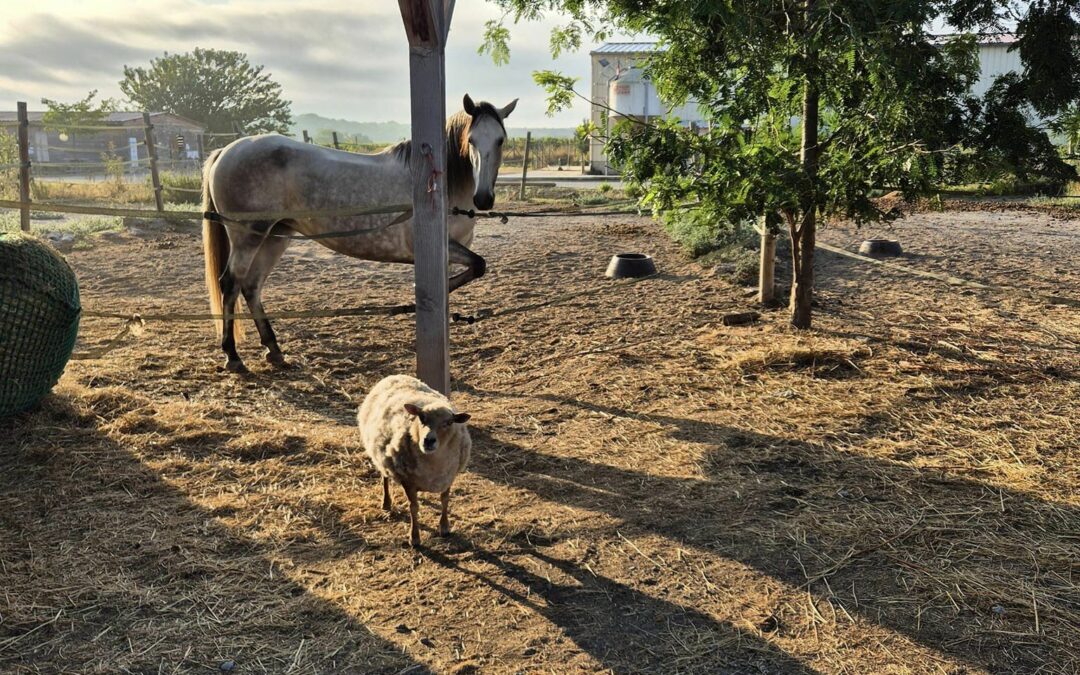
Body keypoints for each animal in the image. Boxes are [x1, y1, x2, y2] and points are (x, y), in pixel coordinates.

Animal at [201, 94, 517, 373]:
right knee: (230, 284)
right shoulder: (441, 248)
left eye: (500, 140)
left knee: (251, 286)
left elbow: (470, 271)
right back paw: (232, 356)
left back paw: (274, 351)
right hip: (248, 237)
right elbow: (477, 266)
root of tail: (224, 151)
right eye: (471, 140)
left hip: (274, 236)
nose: (484, 198)